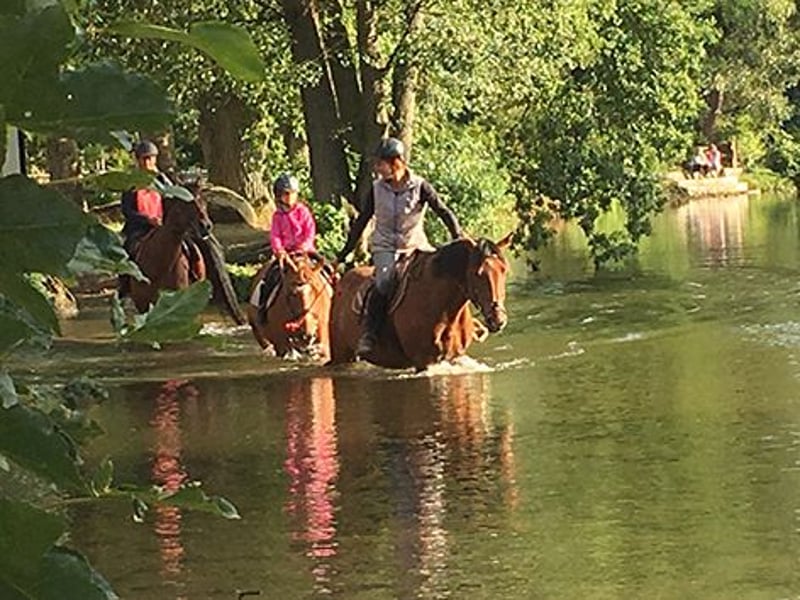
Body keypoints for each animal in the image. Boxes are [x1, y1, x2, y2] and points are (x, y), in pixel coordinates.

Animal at [328, 234, 511, 370]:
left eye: (504, 270)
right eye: (477, 273)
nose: (498, 319)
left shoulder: (454, 357)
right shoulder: (424, 361)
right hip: (342, 354)